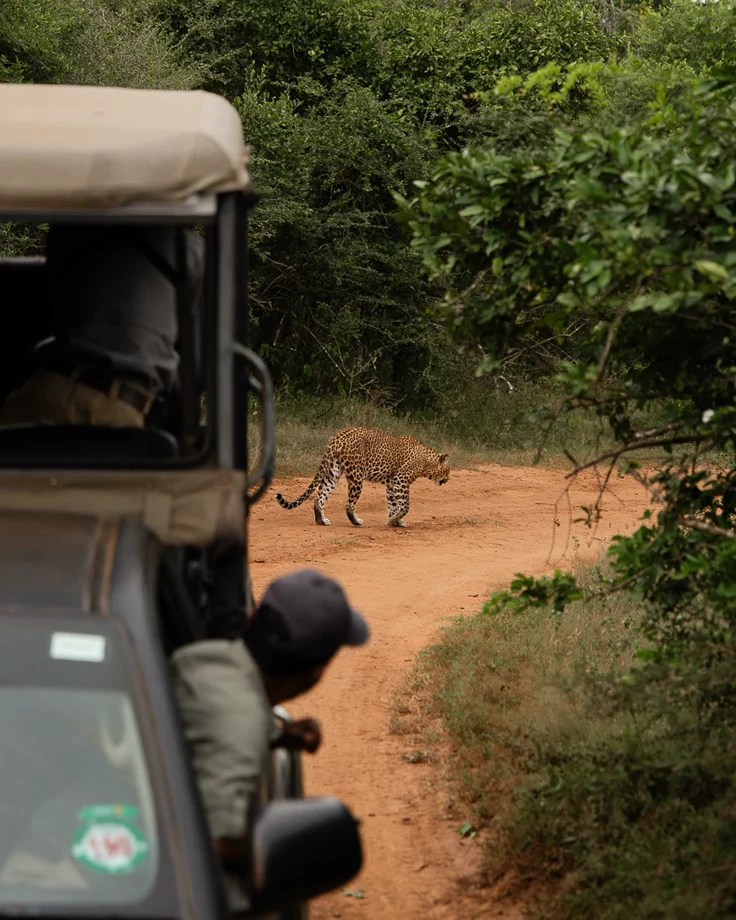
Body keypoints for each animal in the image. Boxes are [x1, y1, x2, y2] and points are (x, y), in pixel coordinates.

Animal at [275, 425, 450, 527]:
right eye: (447, 470)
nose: (448, 480)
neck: (426, 461)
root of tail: (337, 437)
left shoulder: (392, 483)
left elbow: (393, 504)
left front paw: (395, 521)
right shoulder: (400, 480)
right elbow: (405, 505)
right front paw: (394, 520)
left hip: (333, 472)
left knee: (320, 496)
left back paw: (321, 520)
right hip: (356, 476)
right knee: (349, 504)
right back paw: (356, 521)